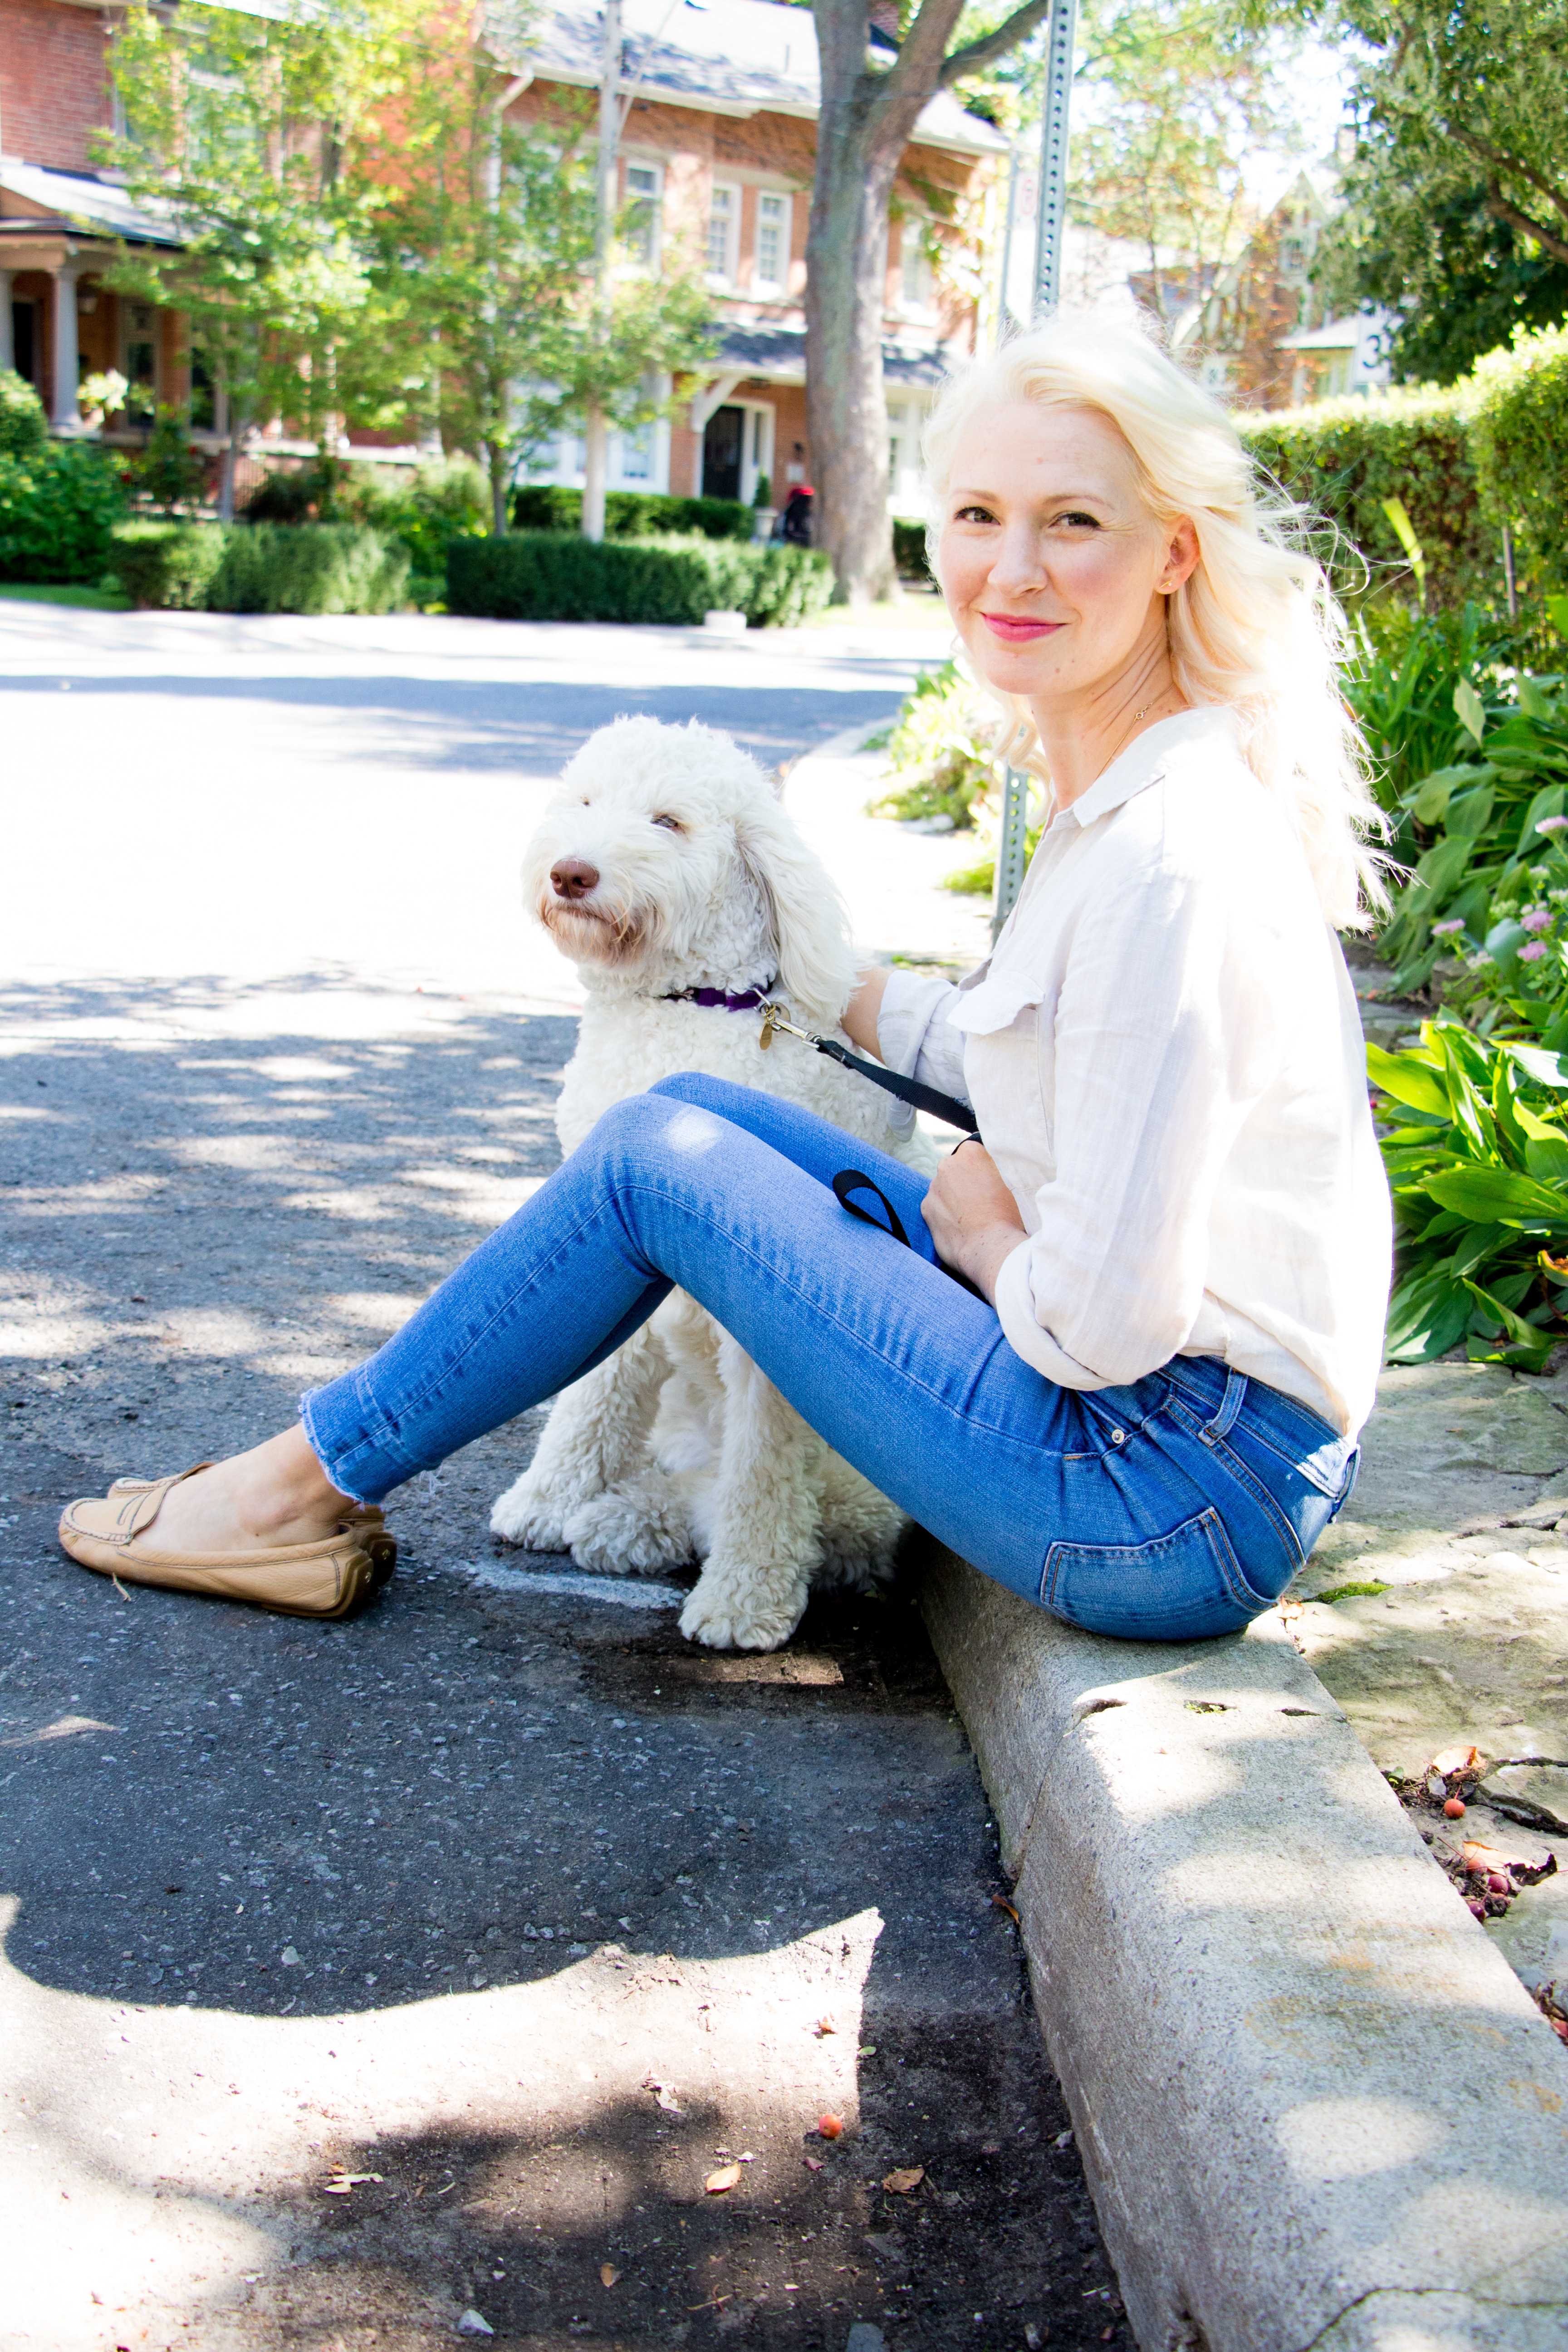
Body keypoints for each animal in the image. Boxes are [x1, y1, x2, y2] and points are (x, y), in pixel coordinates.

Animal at [491, 715, 931, 1656]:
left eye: (668, 821)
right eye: (585, 801)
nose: (571, 871)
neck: (689, 1003)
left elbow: (762, 1464)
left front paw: (745, 1599)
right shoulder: (625, 1242)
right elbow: (593, 1392)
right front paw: (546, 1498)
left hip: (855, 1480)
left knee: (794, 1513)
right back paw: (623, 1518)